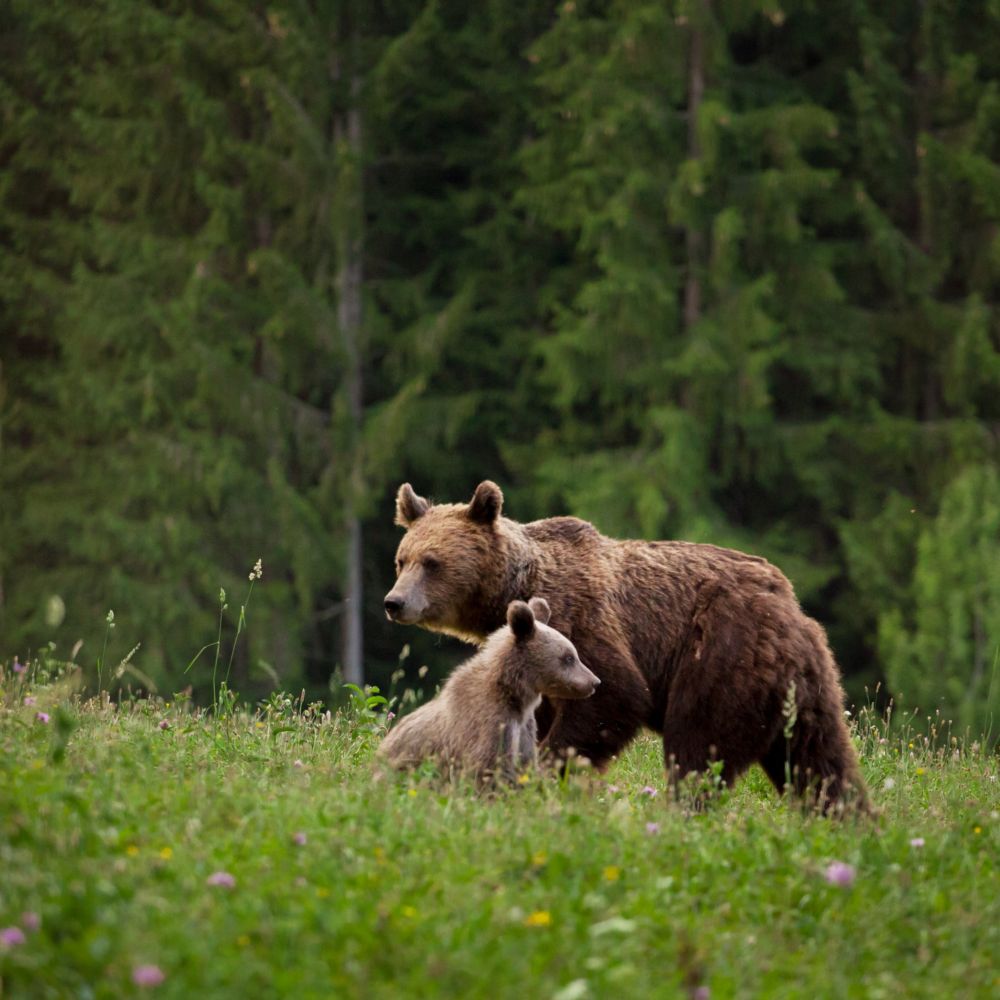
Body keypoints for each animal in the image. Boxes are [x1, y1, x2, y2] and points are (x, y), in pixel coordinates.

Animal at [378, 596, 600, 782]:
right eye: (568, 657)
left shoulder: (525, 730)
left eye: (574, 654)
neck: (515, 694)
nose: (594, 682)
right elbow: (488, 768)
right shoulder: (491, 723)